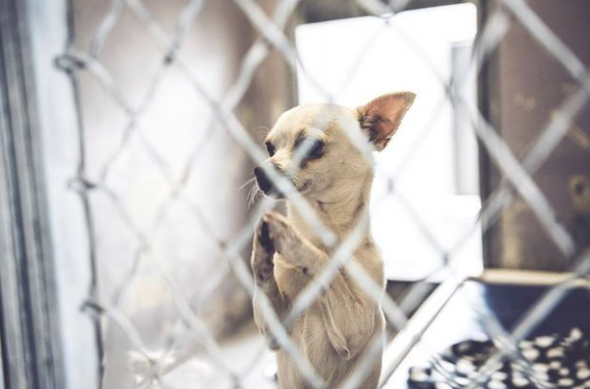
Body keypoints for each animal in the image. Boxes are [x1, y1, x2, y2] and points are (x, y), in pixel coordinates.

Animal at [252, 91, 414, 388]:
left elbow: (326, 268)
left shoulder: (354, 328)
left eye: (312, 146)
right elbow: (264, 282)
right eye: (269, 148)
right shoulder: (274, 333)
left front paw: (294, 243)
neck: (321, 236)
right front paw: (261, 250)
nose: (260, 171)